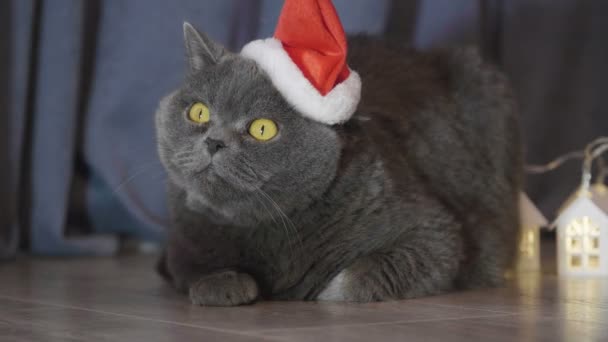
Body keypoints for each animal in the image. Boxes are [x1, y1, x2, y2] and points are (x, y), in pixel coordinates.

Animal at [153, 23, 524, 308]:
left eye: (262, 129)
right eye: (199, 112)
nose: (214, 141)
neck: (265, 232)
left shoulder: (435, 234)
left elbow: (355, 279)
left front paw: (319, 289)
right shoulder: (182, 239)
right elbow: (193, 272)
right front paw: (224, 283)